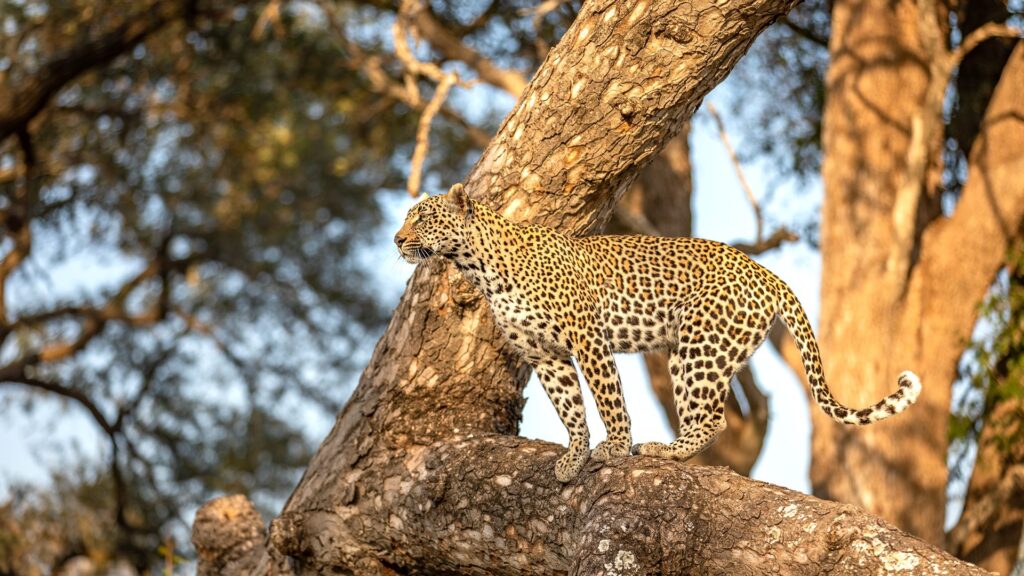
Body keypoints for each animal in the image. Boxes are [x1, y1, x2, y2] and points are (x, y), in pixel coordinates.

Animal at [394, 183, 922, 482]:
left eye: (424, 217)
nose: (397, 240)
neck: (481, 267)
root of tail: (767, 273)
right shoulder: (545, 356)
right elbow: (571, 410)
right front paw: (574, 457)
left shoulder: (587, 339)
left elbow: (609, 400)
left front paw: (613, 446)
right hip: (685, 354)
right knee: (705, 416)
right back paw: (668, 450)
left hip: (703, 344)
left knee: (715, 419)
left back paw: (661, 448)